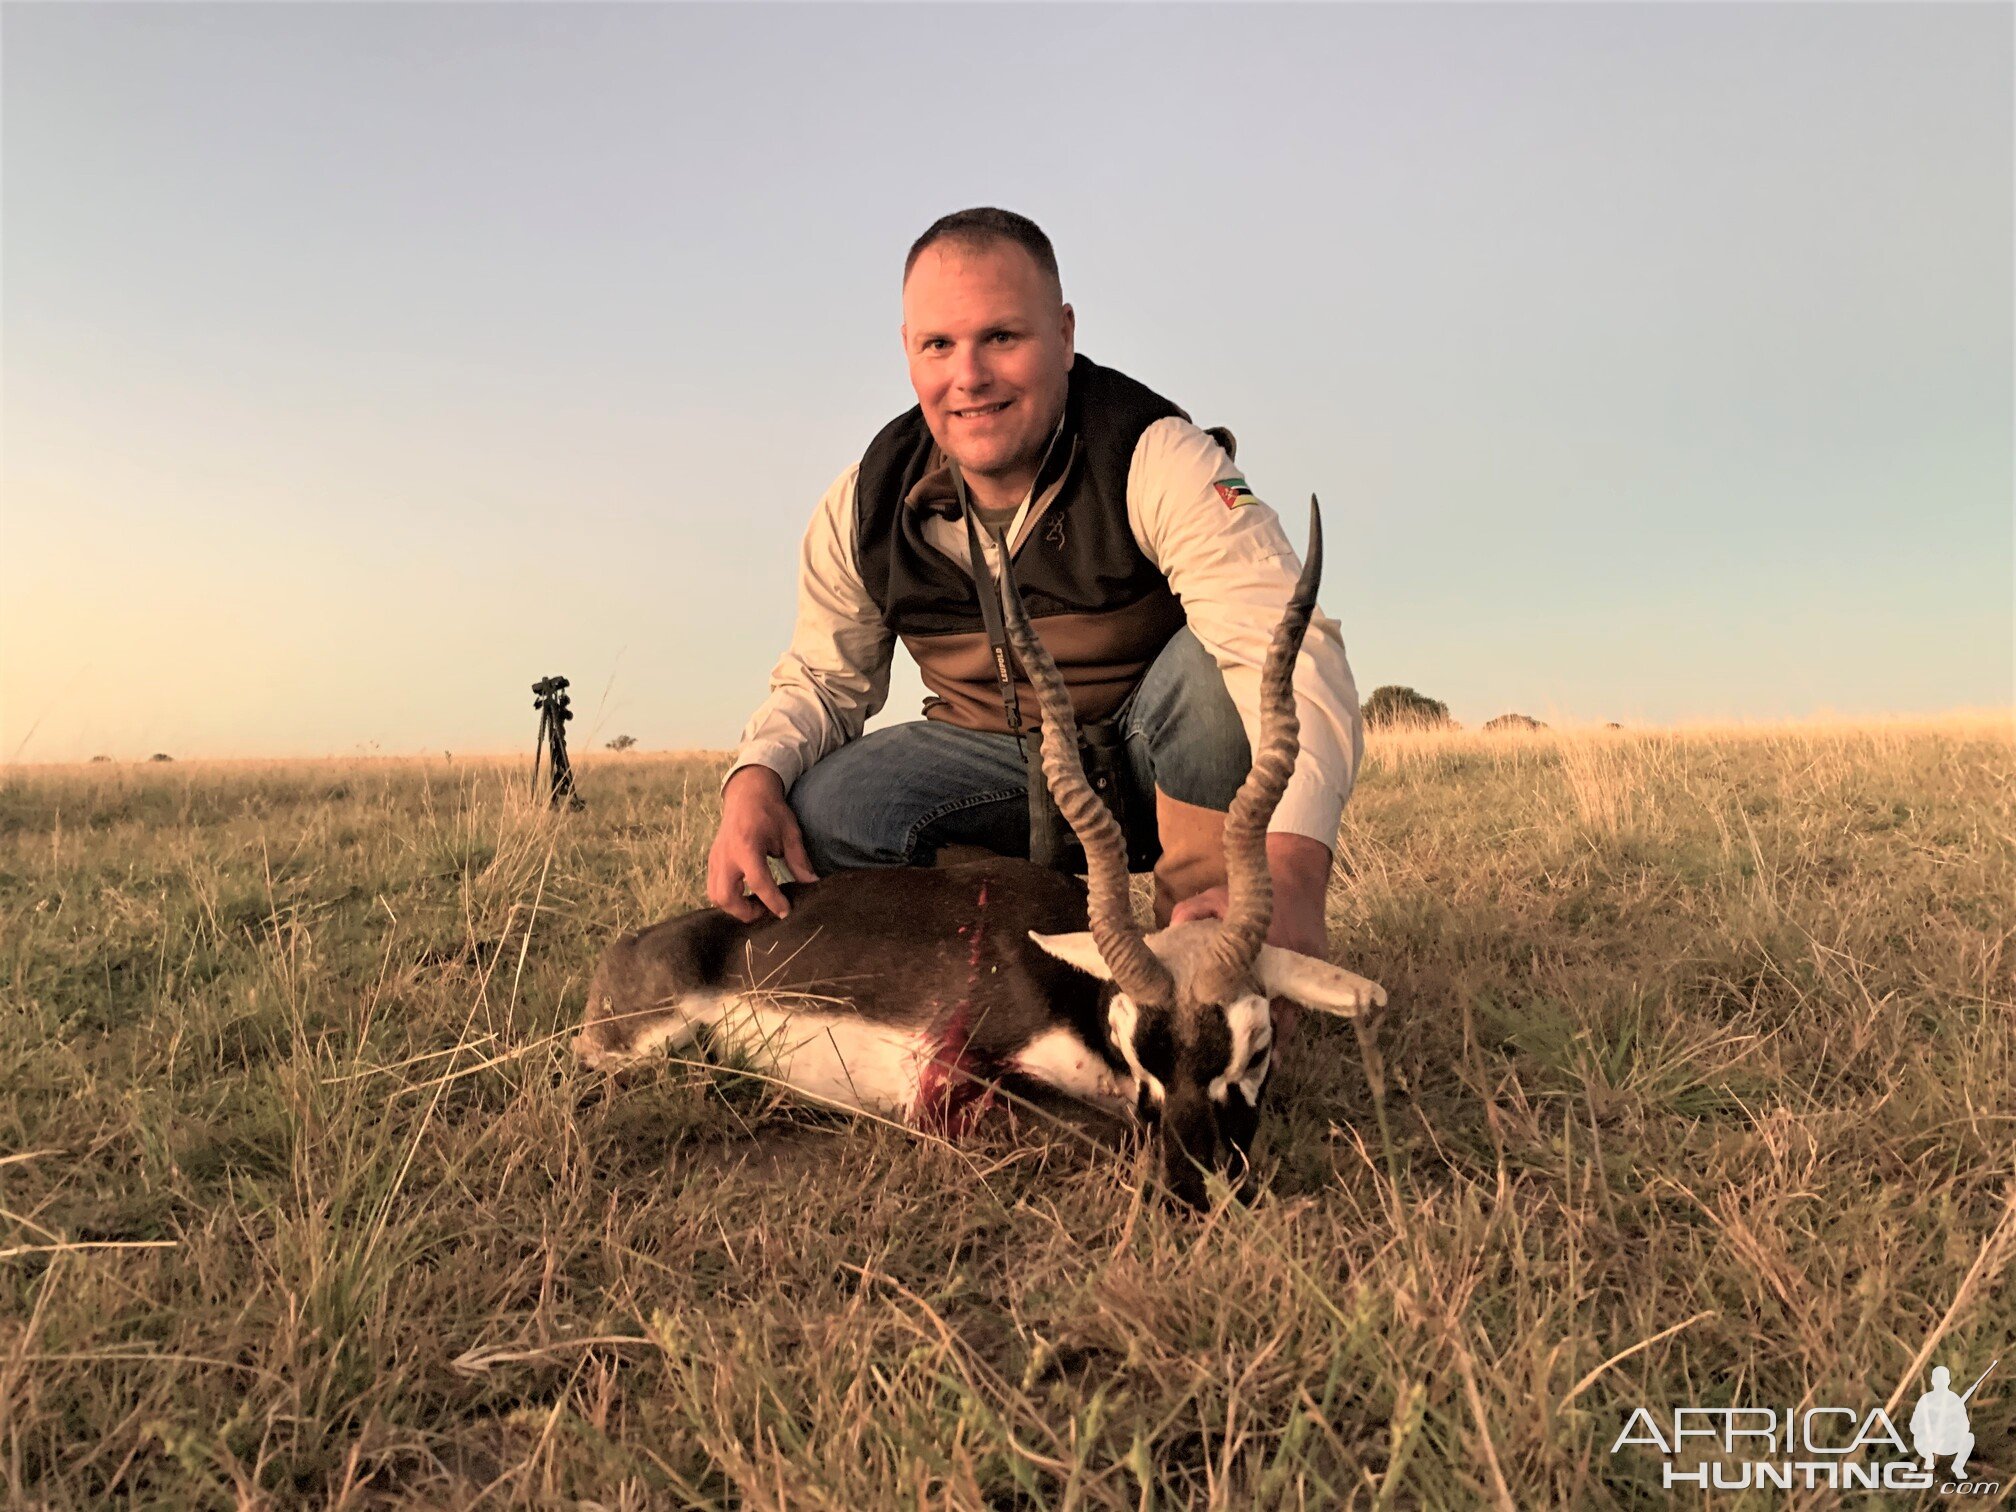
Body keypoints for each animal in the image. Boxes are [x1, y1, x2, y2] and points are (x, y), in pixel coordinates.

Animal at [572, 504, 1387, 1217]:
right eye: (1137, 1050)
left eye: (1257, 1046)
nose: (1192, 1193)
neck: (1074, 1001)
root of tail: (633, 946)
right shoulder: (956, 1081)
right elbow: (1110, 1130)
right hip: (637, 1054)